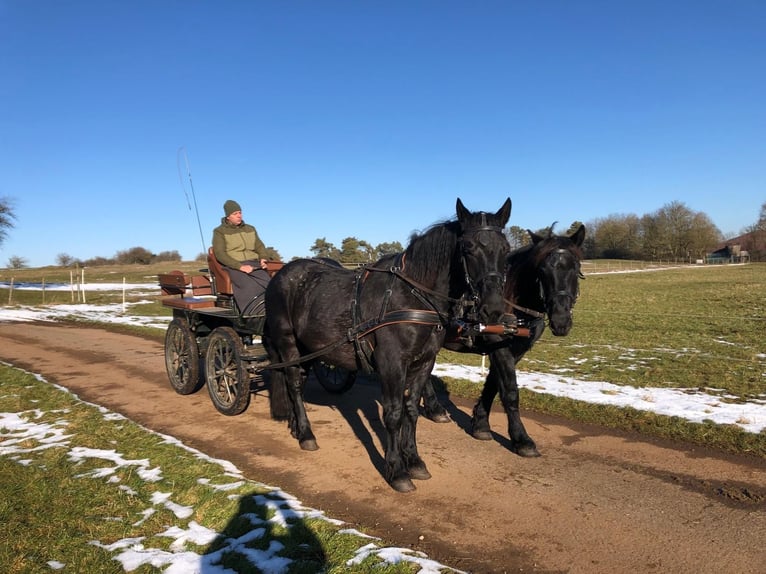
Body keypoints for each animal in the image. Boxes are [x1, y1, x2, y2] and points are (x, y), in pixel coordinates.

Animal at [268, 199, 512, 496]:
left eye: (506, 250)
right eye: (468, 248)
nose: (494, 308)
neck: (412, 297)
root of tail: (281, 273)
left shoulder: (424, 362)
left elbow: (412, 410)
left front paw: (415, 460)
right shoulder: (391, 363)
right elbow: (394, 414)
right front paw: (397, 470)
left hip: (309, 347)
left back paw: (294, 425)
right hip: (287, 342)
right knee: (293, 383)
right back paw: (305, 433)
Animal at [424, 223, 584, 456]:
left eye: (576, 268)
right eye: (542, 270)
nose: (561, 319)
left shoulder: (515, 349)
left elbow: (493, 384)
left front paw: (481, 423)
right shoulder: (498, 345)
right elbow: (509, 391)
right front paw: (521, 438)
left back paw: (434, 408)